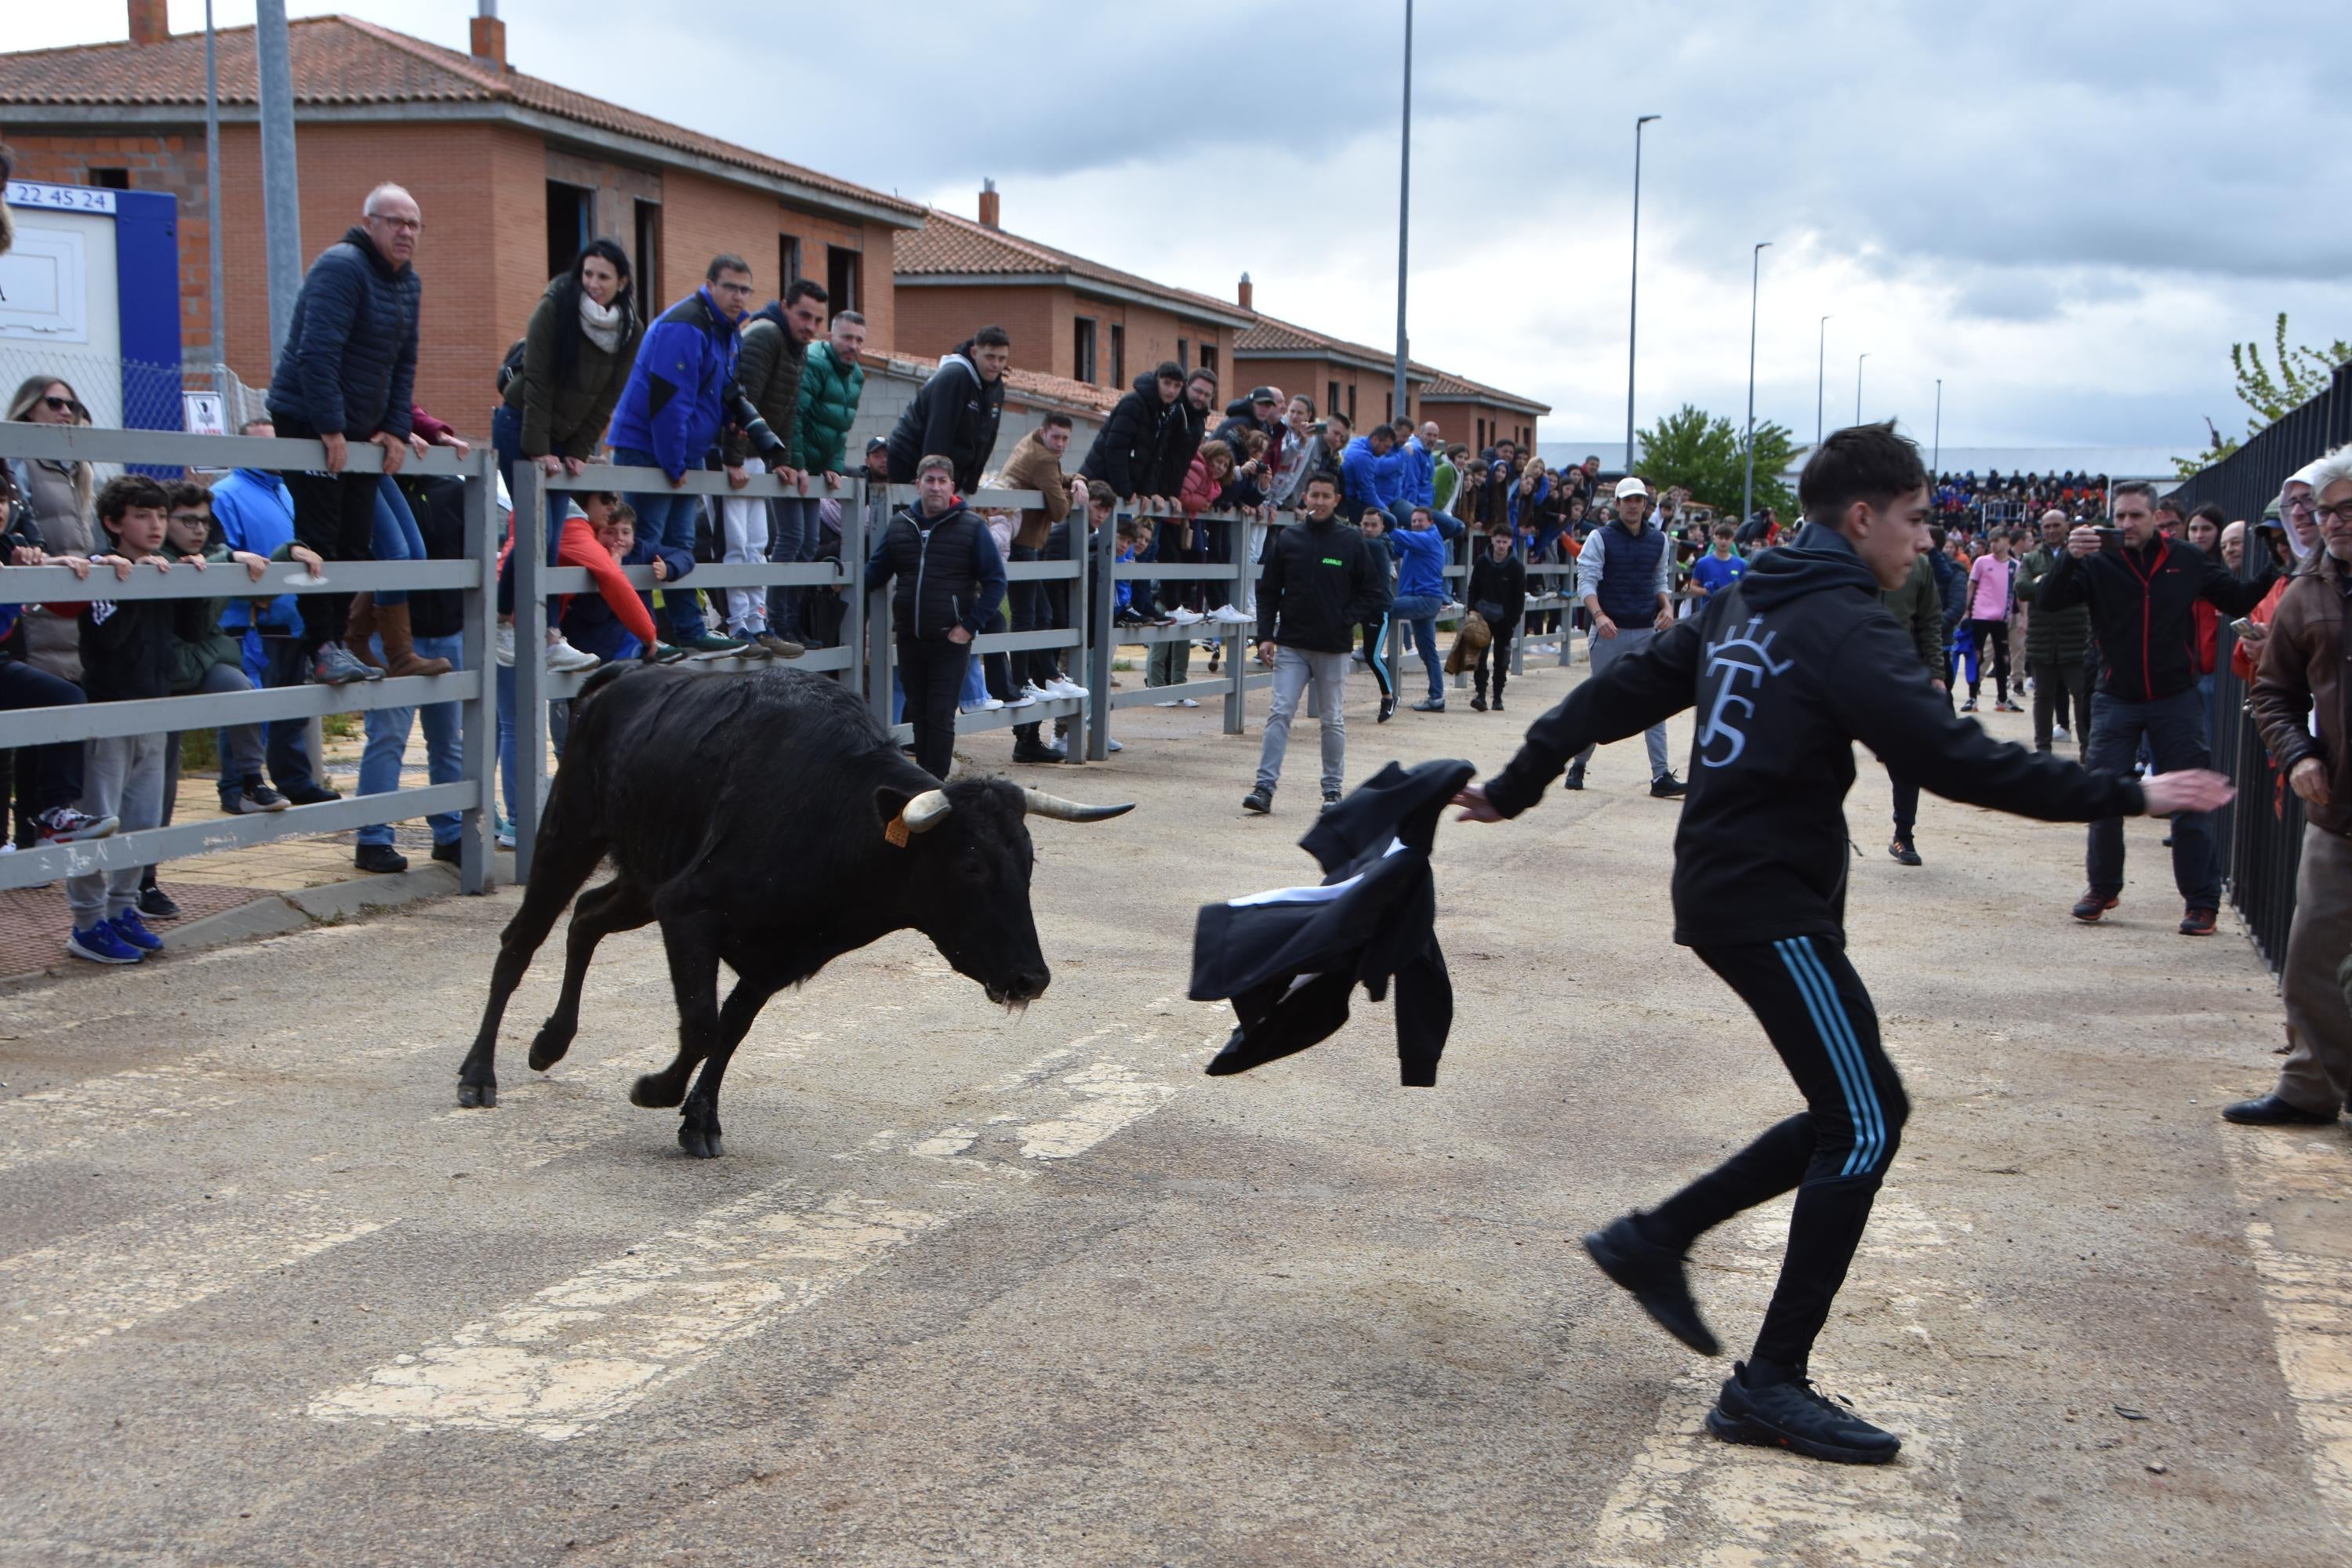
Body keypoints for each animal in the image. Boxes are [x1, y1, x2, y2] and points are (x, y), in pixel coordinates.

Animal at [454, 662, 1134, 1152]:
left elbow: (731, 1030)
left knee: (588, 917)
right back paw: (479, 1073)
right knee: (522, 939)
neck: (835, 822)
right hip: (570, 832)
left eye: (1028, 863)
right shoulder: (689, 910)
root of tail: (618, 679)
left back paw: (551, 1042)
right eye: (971, 866)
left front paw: (700, 1121)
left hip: (644, 882)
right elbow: (701, 1025)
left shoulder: (775, 955)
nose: (1031, 978)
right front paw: (654, 1089)